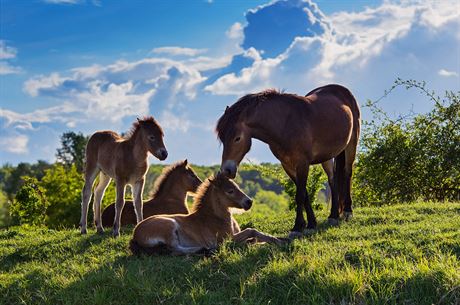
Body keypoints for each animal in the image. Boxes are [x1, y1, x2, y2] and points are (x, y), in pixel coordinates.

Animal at [129, 171, 284, 254]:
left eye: (237, 186)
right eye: (230, 191)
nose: (249, 202)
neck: (215, 218)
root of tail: (135, 235)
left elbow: (254, 238)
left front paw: (275, 240)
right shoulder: (227, 239)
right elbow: (252, 231)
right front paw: (278, 241)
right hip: (170, 225)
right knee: (175, 249)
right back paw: (205, 249)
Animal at [217, 84, 362, 236]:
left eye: (237, 138)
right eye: (222, 138)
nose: (226, 170)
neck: (285, 124)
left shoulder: (302, 164)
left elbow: (300, 195)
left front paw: (298, 227)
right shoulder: (288, 165)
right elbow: (304, 193)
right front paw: (311, 223)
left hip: (352, 144)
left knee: (347, 173)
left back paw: (347, 211)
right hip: (327, 156)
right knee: (332, 180)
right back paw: (333, 215)